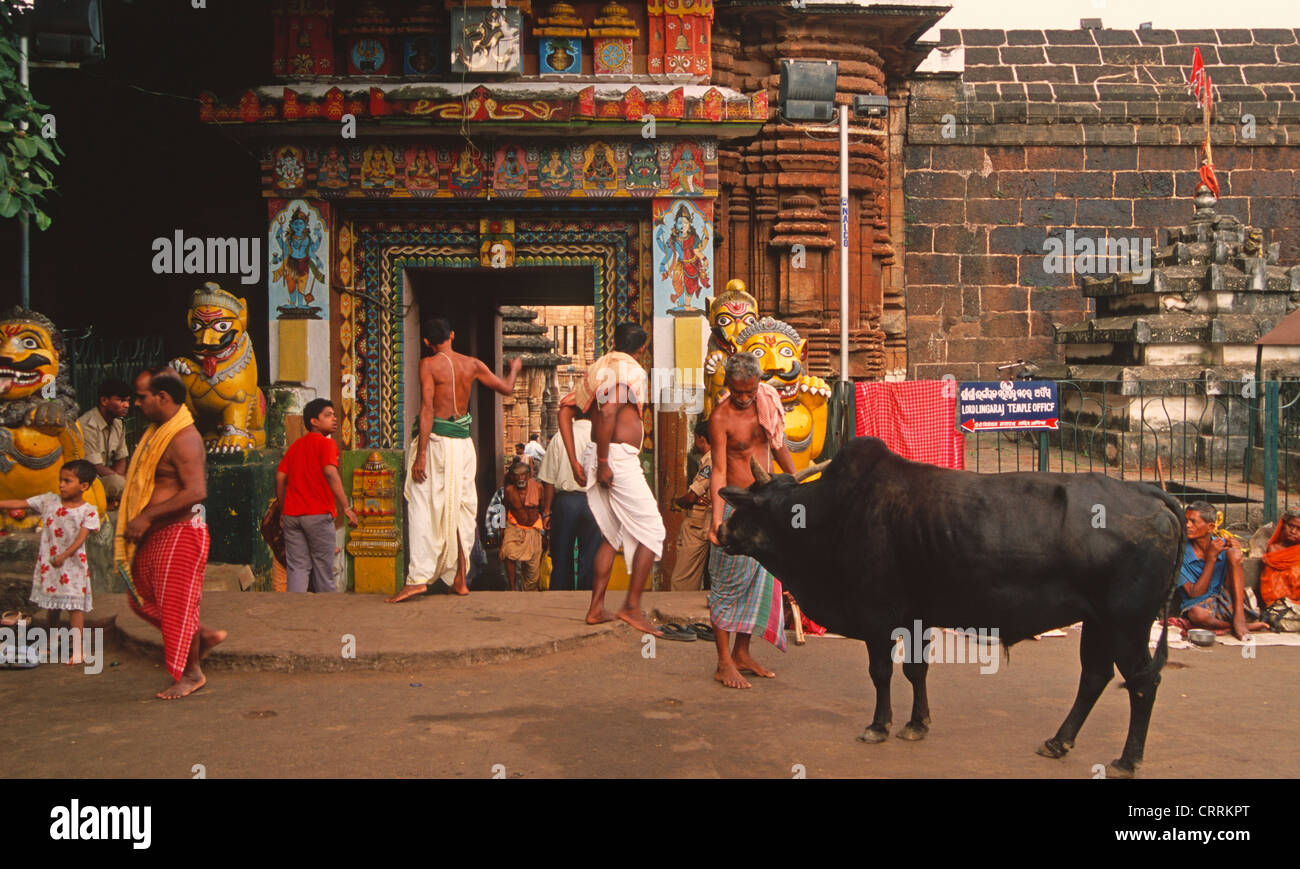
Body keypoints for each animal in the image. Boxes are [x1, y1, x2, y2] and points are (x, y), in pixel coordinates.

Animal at [717, 437, 1185, 775]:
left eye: (750, 504)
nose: (720, 530)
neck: (831, 513)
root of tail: (1147, 493)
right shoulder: (914, 618)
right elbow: (916, 670)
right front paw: (916, 724)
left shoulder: (877, 617)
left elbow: (881, 672)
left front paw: (879, 725)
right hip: (1099, 621)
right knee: (1095, 677)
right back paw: (1058, 741)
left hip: (1127, 623)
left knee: (1143, 682)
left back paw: (1127, 759)